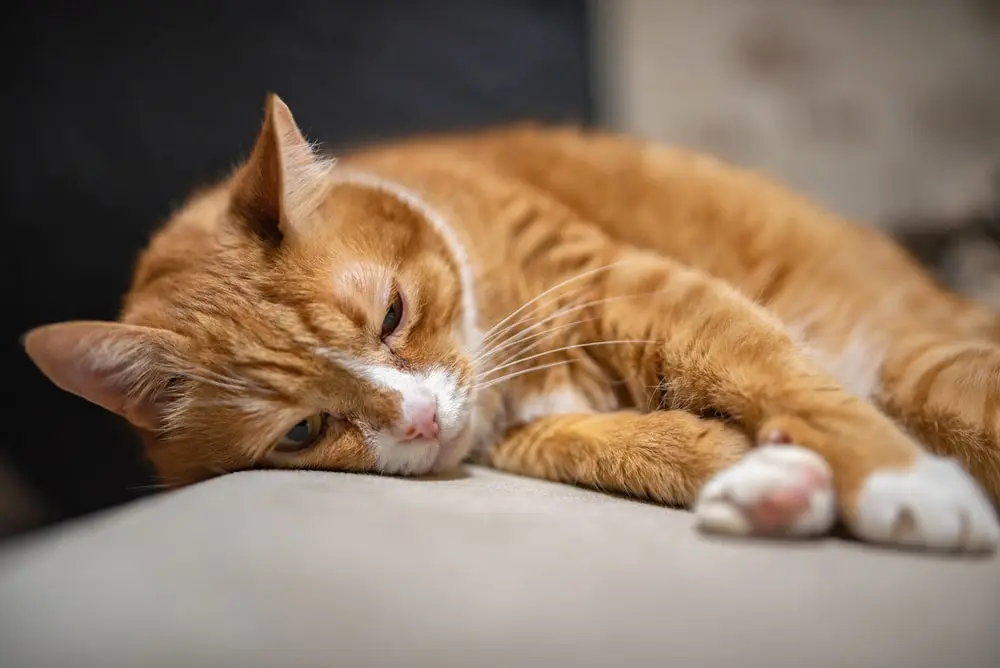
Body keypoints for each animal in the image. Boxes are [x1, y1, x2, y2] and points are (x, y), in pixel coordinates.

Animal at [23, 94, 1000, 552]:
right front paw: (763, 477)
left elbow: (786, 376)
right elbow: (623, 446)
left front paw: (903, 484)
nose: (420, 421)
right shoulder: (533, 430)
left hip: (928, 368)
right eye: (303, 432)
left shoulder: (636, 288)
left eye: (392, 314)